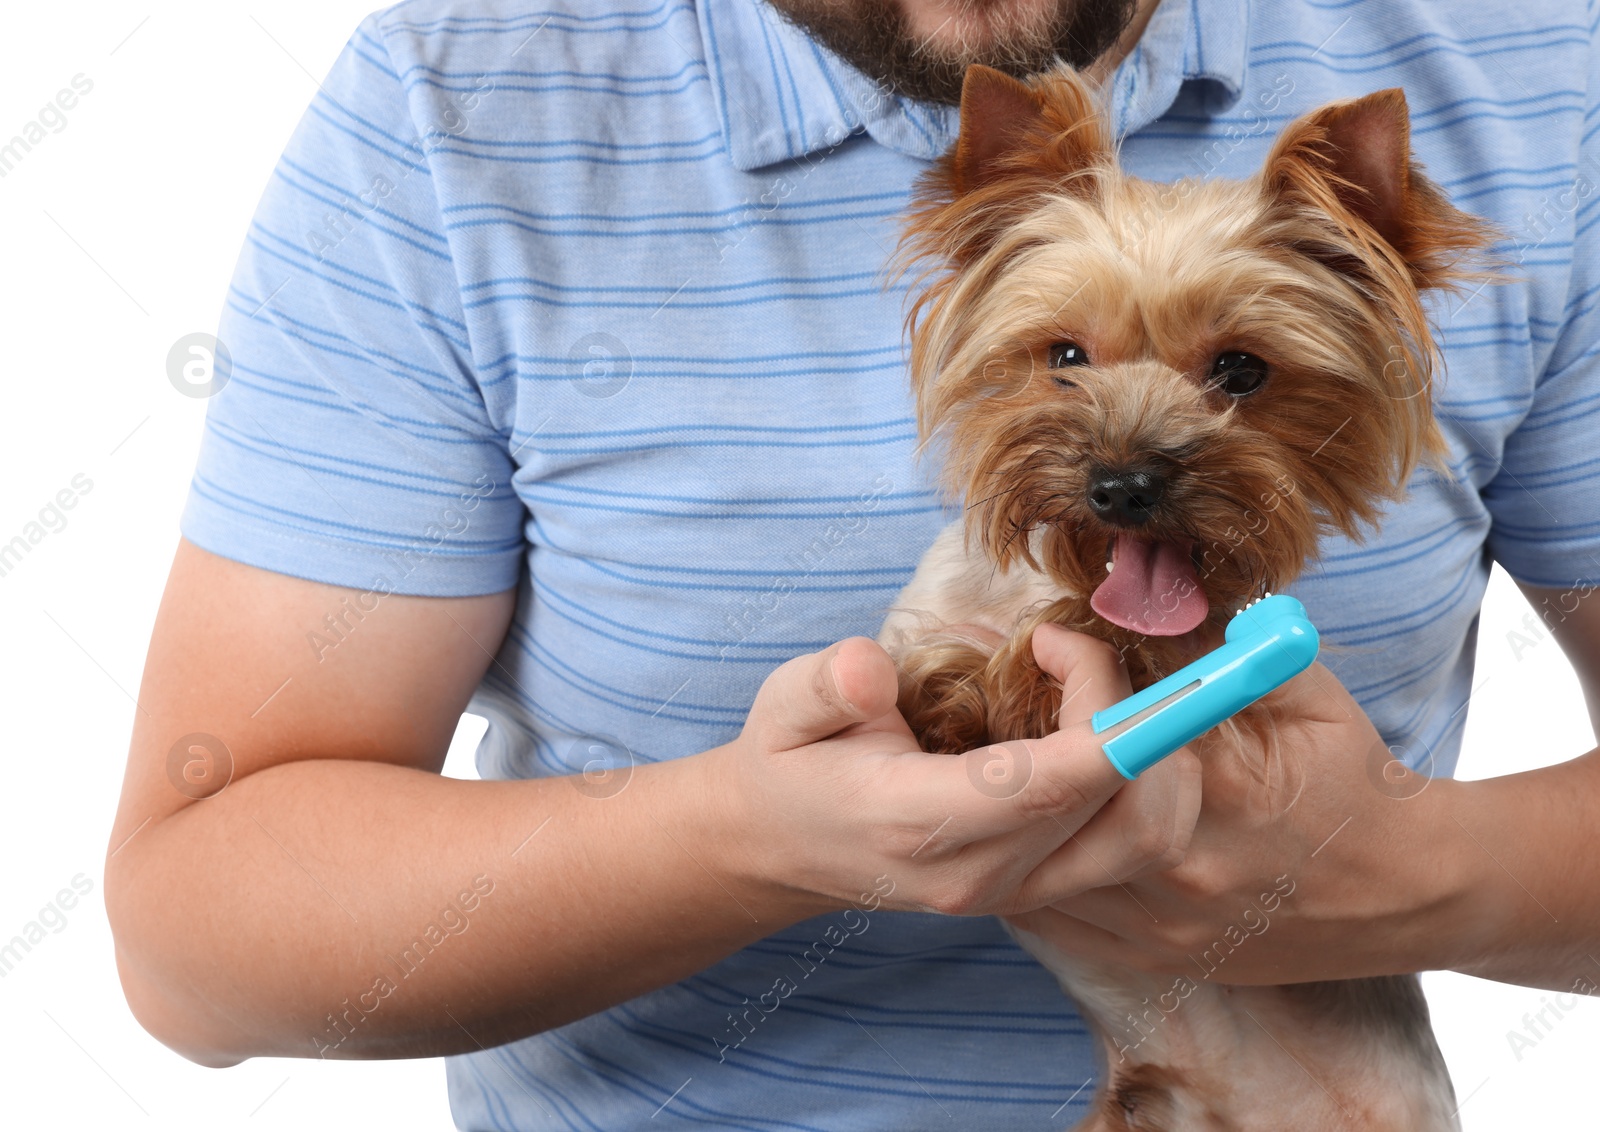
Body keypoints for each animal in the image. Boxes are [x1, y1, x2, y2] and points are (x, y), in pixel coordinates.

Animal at [876, 63, 1497, 1132]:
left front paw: (1037, 673)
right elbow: (922, 663)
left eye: (1241, 370)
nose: (1122, 483)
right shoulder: (918, 623)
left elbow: (1142, 649)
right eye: (1065, 357)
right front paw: (962, 694)